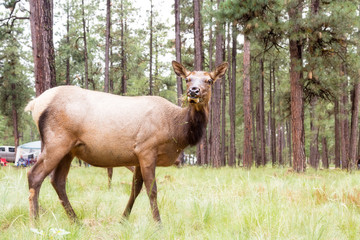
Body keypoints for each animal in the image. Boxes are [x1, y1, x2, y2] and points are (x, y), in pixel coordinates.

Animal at [25, 61, 228, 222]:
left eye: (209, 80)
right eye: (187, 79)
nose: (193, 91)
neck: (177, 131)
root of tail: (35, 104)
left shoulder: (137, 155)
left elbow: (135, 189)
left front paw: (123, 219)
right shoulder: (147, 149)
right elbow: (152, 190)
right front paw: (158, 224)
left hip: (69, 150)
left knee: (57, 181)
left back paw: (75, 221)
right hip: (56, 141)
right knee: (35, 175)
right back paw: (35, 221)